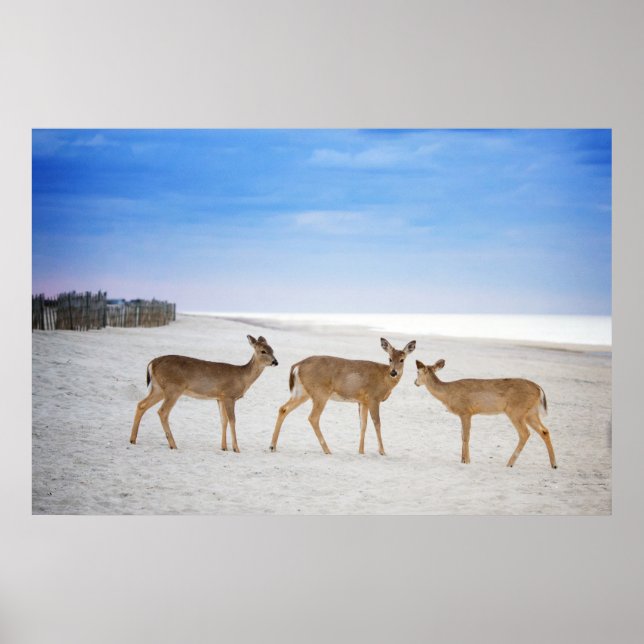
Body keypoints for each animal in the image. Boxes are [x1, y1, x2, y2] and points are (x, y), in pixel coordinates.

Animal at [129, 335, 278, 451]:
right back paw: (173, 445)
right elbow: (232, 420)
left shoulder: (220, 398)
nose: (275, 362)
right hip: (173, 388)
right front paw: (236, 448)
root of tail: (152, 363)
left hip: (158, 388)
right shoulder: (229, 396)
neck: (242, 378)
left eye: (273, 350)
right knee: (162, 411)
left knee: (141, 404)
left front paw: (224, 447)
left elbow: (223, 420)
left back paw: (132, 439)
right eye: (263, 351)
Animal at [270, 338, 416, 455]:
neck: (384, 378)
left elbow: (363, 425)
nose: (393, 372)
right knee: (313, 417)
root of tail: (297, 365)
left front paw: (361, 451)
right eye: (389, 359)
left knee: (283, 409)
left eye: (402, 360)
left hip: (302, 392)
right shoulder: (374, 398)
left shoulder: (363, 401)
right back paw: (327, 450)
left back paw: (272, 446)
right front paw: (382, 451)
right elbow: (377, 423)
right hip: (320, 393)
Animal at [414, 358, 557, 468]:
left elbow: (466, 436)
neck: (448, 393)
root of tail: (539, 388)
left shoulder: (465, 411)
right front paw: (462, 460)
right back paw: (554, 464)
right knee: (544, 431)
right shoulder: (463, 414)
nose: (415, 382)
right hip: (531, 413)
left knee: (525, 433)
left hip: (516, 411)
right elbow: (462, 435)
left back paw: (509, 463)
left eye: (417, 372)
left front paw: (467, 461)